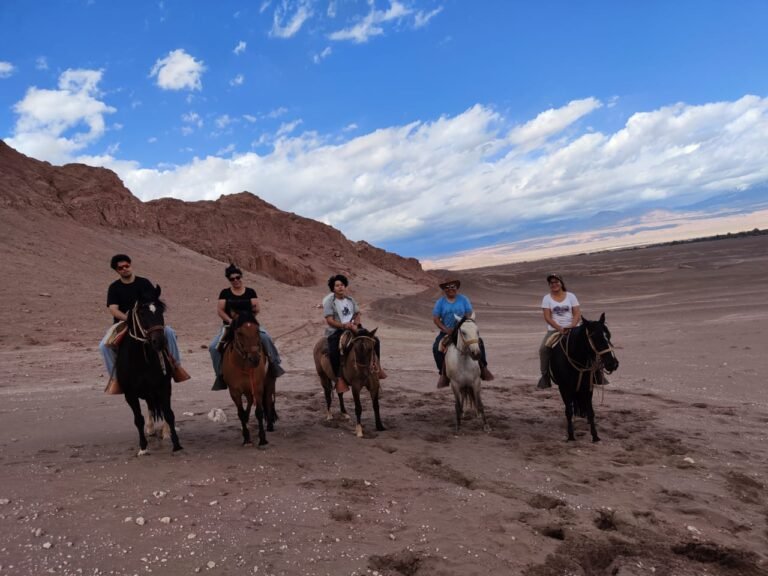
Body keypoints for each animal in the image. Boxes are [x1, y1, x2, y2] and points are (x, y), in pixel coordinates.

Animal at [115, 284, 183, 454]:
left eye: (161, 311)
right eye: (141, 313)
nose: (159, 341)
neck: (142, 360)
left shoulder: (164, 386)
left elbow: (169, 413)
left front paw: (176, 443)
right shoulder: (130, 394)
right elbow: (138, 419)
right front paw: (143, 447)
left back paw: (164, 431)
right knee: (150, 406)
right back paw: (150, 428)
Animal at [220, 310, 274, 446]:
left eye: (257, 330)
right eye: (239, 332)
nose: (254, 359)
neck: (244, 366)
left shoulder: (258, 387)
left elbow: (259, 412)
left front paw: (262, 439)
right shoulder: (234, 391)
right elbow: (240, 413)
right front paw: (246, 438)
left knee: (266, 400)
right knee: (248, 403)